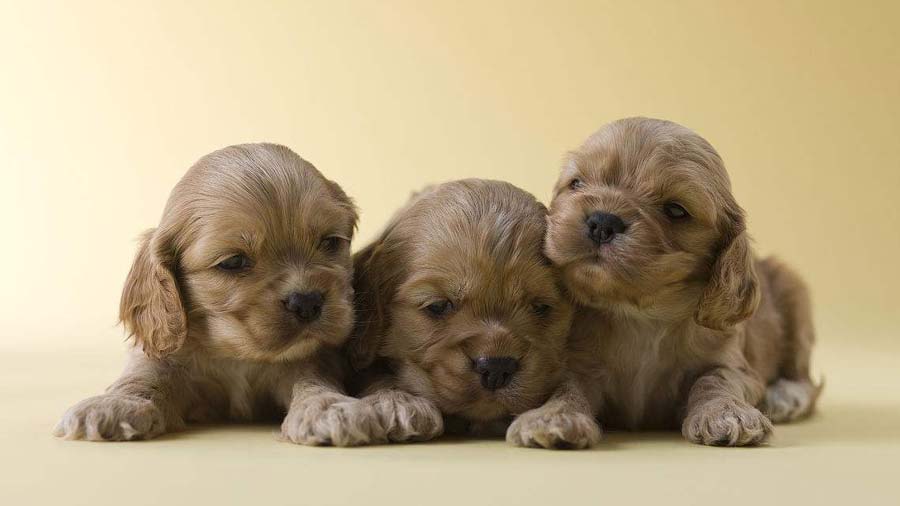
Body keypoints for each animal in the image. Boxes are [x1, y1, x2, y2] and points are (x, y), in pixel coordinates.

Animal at [55, 143, 380, 446]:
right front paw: (117, 404)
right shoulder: (168, 356)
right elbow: (145, 374)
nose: (307, 302)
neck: (238, 354)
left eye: (330, 242)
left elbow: (313, 378)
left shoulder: (310, 358)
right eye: (233, 262)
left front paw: (329, 408)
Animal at [510, 117, 820, 446]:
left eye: (675, 210)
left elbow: (716, 379)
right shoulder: (578, 363)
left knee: (805, 378)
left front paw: (726, 414)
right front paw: (552, 417)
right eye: (577, 184)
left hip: (794, 293)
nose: (602, 222)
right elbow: (567, 387)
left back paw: (786, 396)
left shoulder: (732, 363)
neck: (639, 314)